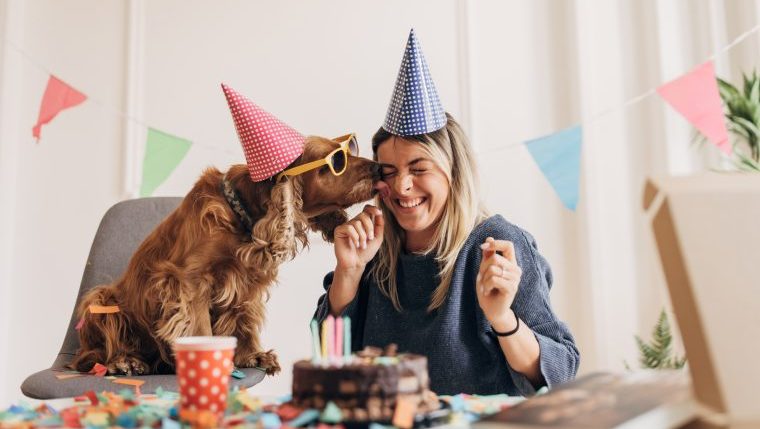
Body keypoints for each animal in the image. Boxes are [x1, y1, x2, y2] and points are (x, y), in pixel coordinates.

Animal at [71, 135, 380, 374]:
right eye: (336, 161)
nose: (379, 166)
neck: (243, 215)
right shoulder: (189, 280)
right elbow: (199, 326)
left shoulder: (246, 282)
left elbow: (243, 321)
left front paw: (252, 355)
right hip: (99, 299)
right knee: (91, 356)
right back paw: (124, 361)